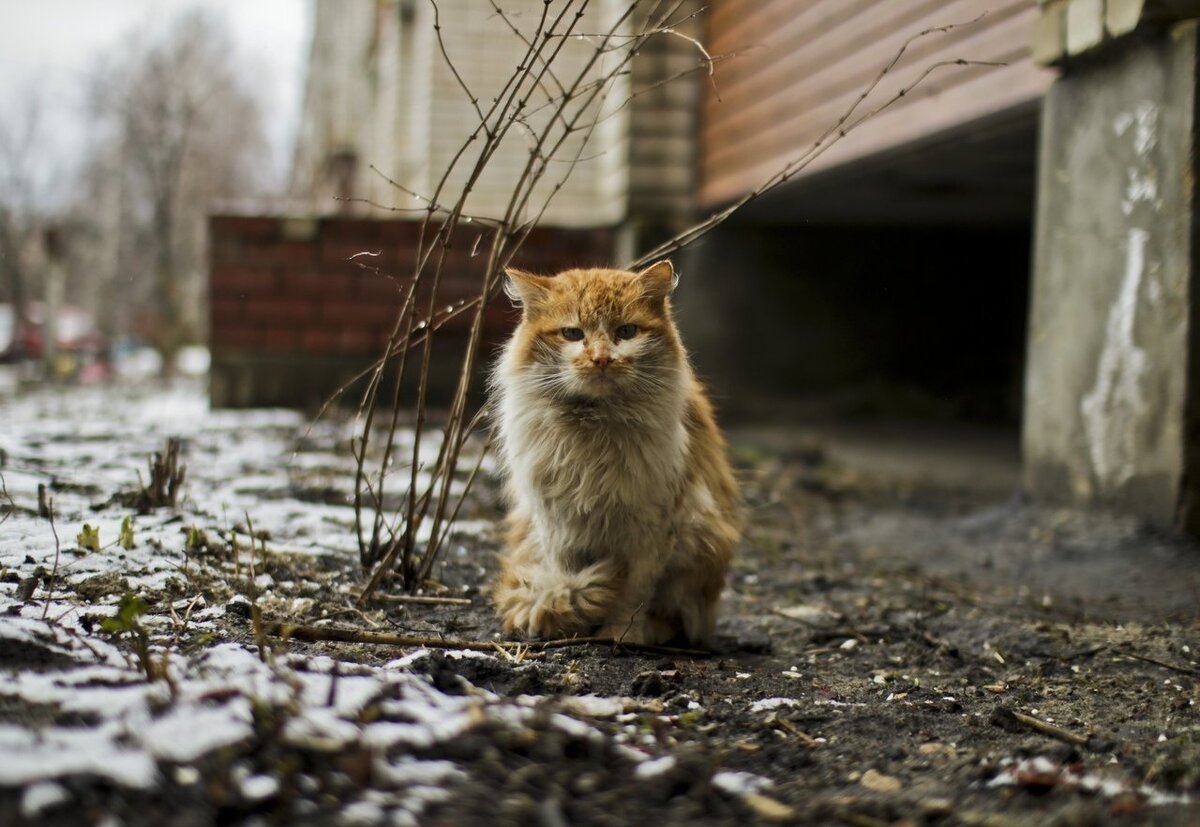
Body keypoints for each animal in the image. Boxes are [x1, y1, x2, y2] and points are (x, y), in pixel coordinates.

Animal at [489, 261, 739, 648]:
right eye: (572, 333)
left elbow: (633, 596)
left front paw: (621, 635)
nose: (601, 359)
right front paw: (567, 619)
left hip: (704, 539)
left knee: (680, 618)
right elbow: (565, 577)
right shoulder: (556, 524)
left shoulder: (653, 528)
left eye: (626, 331)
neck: (594, 427)